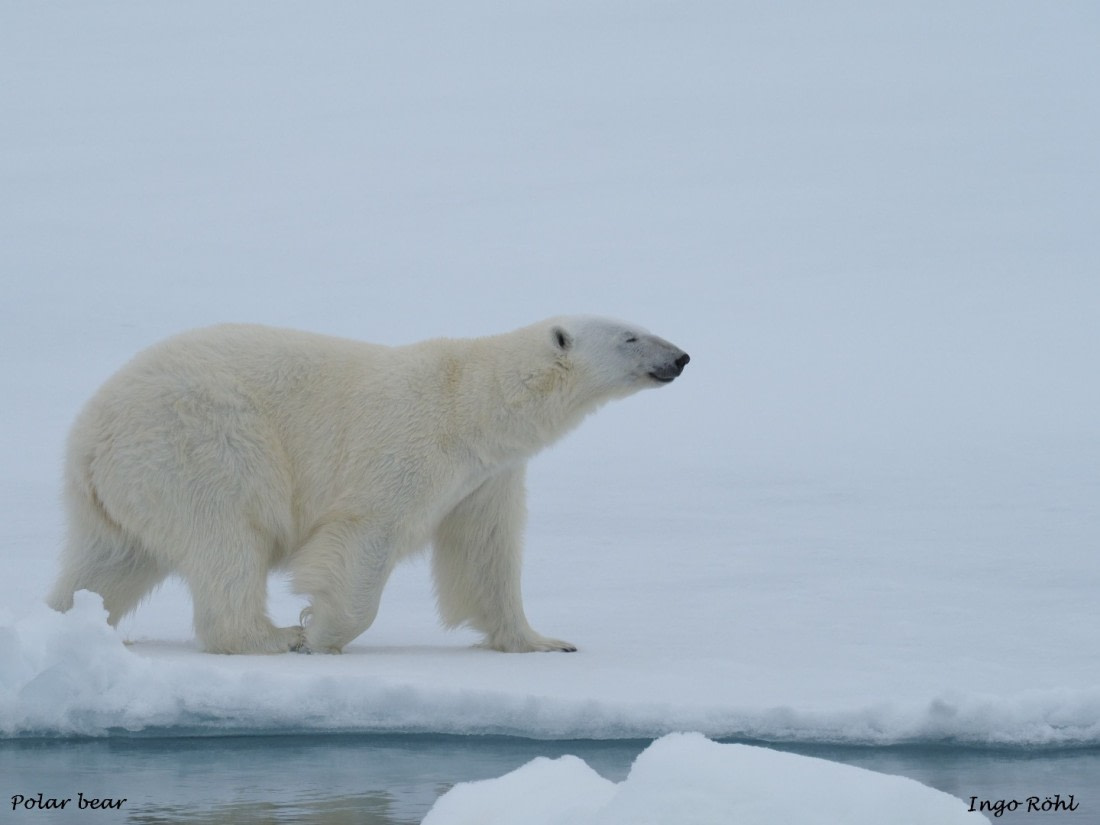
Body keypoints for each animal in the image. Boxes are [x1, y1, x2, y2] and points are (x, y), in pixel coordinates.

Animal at [47, 317, 689, 654]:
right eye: (630, 336)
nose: (681, 357)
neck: (474, 402)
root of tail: (90, 435)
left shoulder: (486, 476)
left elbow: (484, 554)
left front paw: (543, 641)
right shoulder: (410, 443)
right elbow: (367, 531)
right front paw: (318, 630)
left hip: (118, 490)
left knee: (108, 563)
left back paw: (68, 625)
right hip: (198, 442)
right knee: (225, 537)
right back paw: (270, 635)